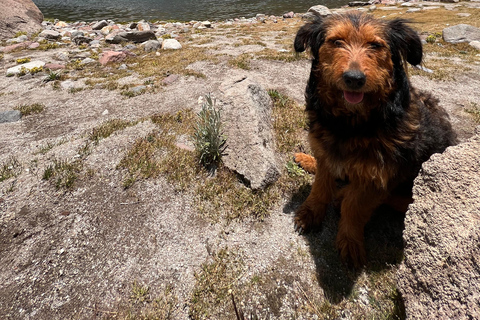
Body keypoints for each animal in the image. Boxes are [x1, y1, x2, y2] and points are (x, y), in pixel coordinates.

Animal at [292, 12, 458, 268]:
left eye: (375, 45)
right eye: (336, 41)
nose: (354, 78)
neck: (351, 123)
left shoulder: (379, 176)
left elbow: (354, 206)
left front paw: (350, 242)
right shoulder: (326, 151)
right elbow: (320, 186)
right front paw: (310, 213)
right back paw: (308, 160)